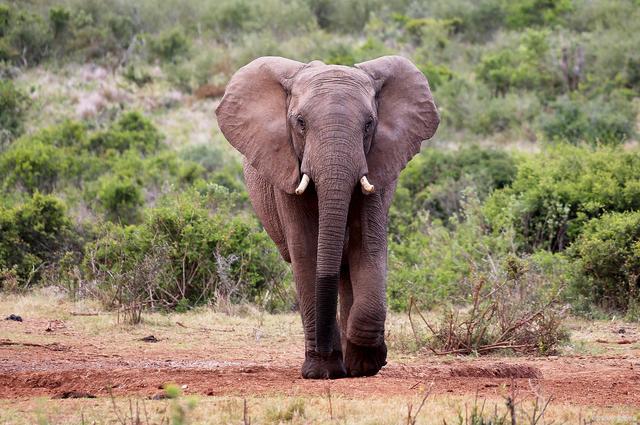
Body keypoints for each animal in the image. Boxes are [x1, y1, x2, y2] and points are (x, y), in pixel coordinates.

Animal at [215, 55, 440, 378]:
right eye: (300, 123)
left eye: (369, 124)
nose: (324, 351)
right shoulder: (286, 169)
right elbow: (307, 250)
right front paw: (323, 371)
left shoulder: (377, 165)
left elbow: (367, 245)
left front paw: (367, 362)